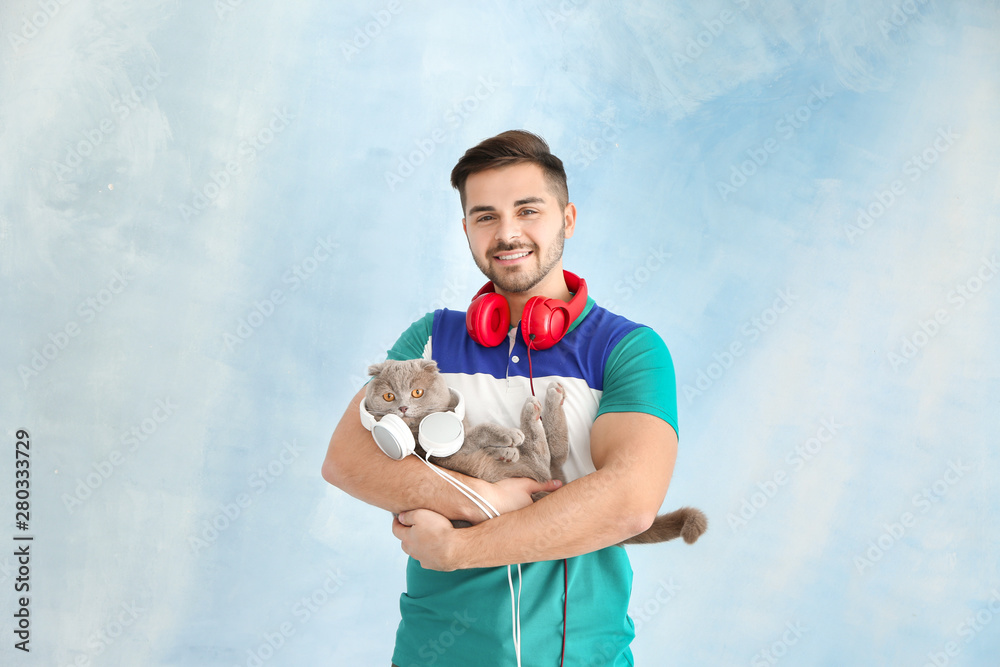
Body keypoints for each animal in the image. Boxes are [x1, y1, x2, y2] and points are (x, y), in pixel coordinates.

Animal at [364, 358, 708, 544]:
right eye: (389, 395)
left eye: (417, 392)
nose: (403, 407)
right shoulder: (437, 451)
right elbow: (476, 433)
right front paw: (507, 438)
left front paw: (506, 450)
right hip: (526, 469)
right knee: (547, 451)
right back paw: (537, 407)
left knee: (555, 452)